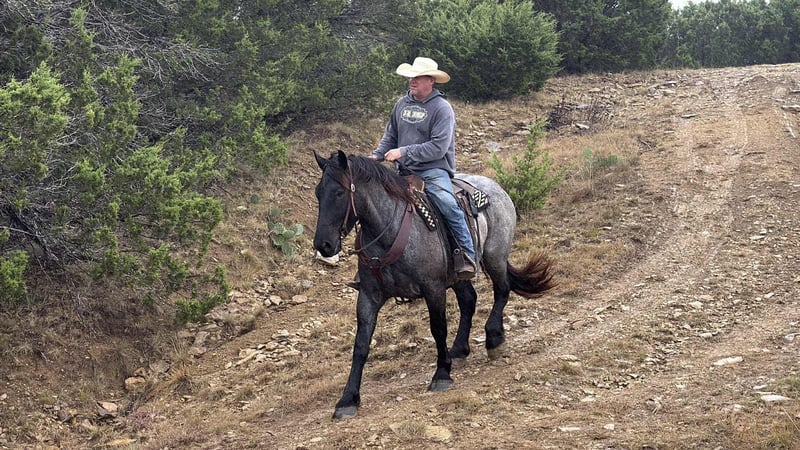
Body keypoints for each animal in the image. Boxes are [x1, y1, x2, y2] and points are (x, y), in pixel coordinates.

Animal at [313, 150, 555, 420]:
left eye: (339, 193)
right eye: (318, 192)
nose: (323, 245)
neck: (389, 231)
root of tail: (496, 187)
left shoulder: (433, 288)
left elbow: (438, 328)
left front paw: (441, 375)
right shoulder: (368, 296)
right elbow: (361, 345)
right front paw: (347, 399)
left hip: (495, 257)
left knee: (502, 290)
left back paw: (494, 338)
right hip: (460, 276)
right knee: (469, 301)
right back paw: (459, 349)